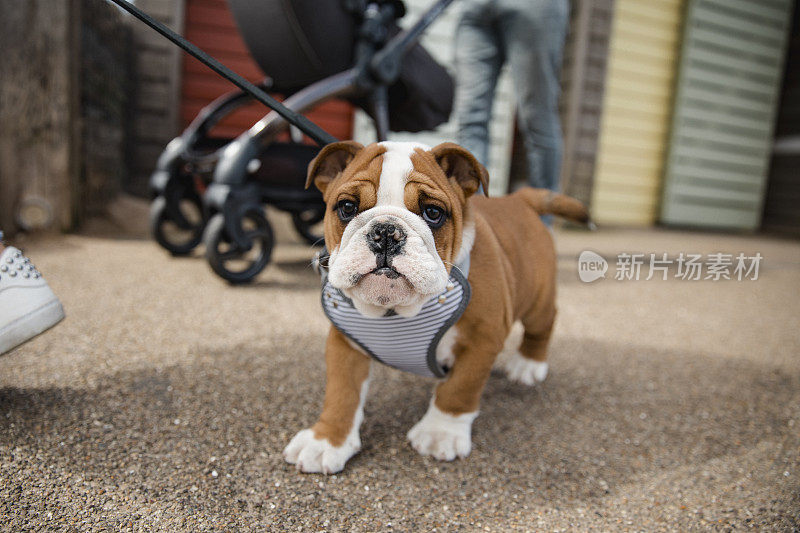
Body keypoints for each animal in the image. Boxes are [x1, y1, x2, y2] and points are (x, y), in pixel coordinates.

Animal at [282, 139, 588, 472]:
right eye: (347, 208)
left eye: (433, 212)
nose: (386, 232)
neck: (397, 310)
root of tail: (520, 198)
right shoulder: (345, 342)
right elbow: (342, 393)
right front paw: (327, 441)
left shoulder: (482, 339)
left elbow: (459, 389)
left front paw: (441, 432)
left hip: (537, 301)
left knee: (544, 322)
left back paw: (528, 364)